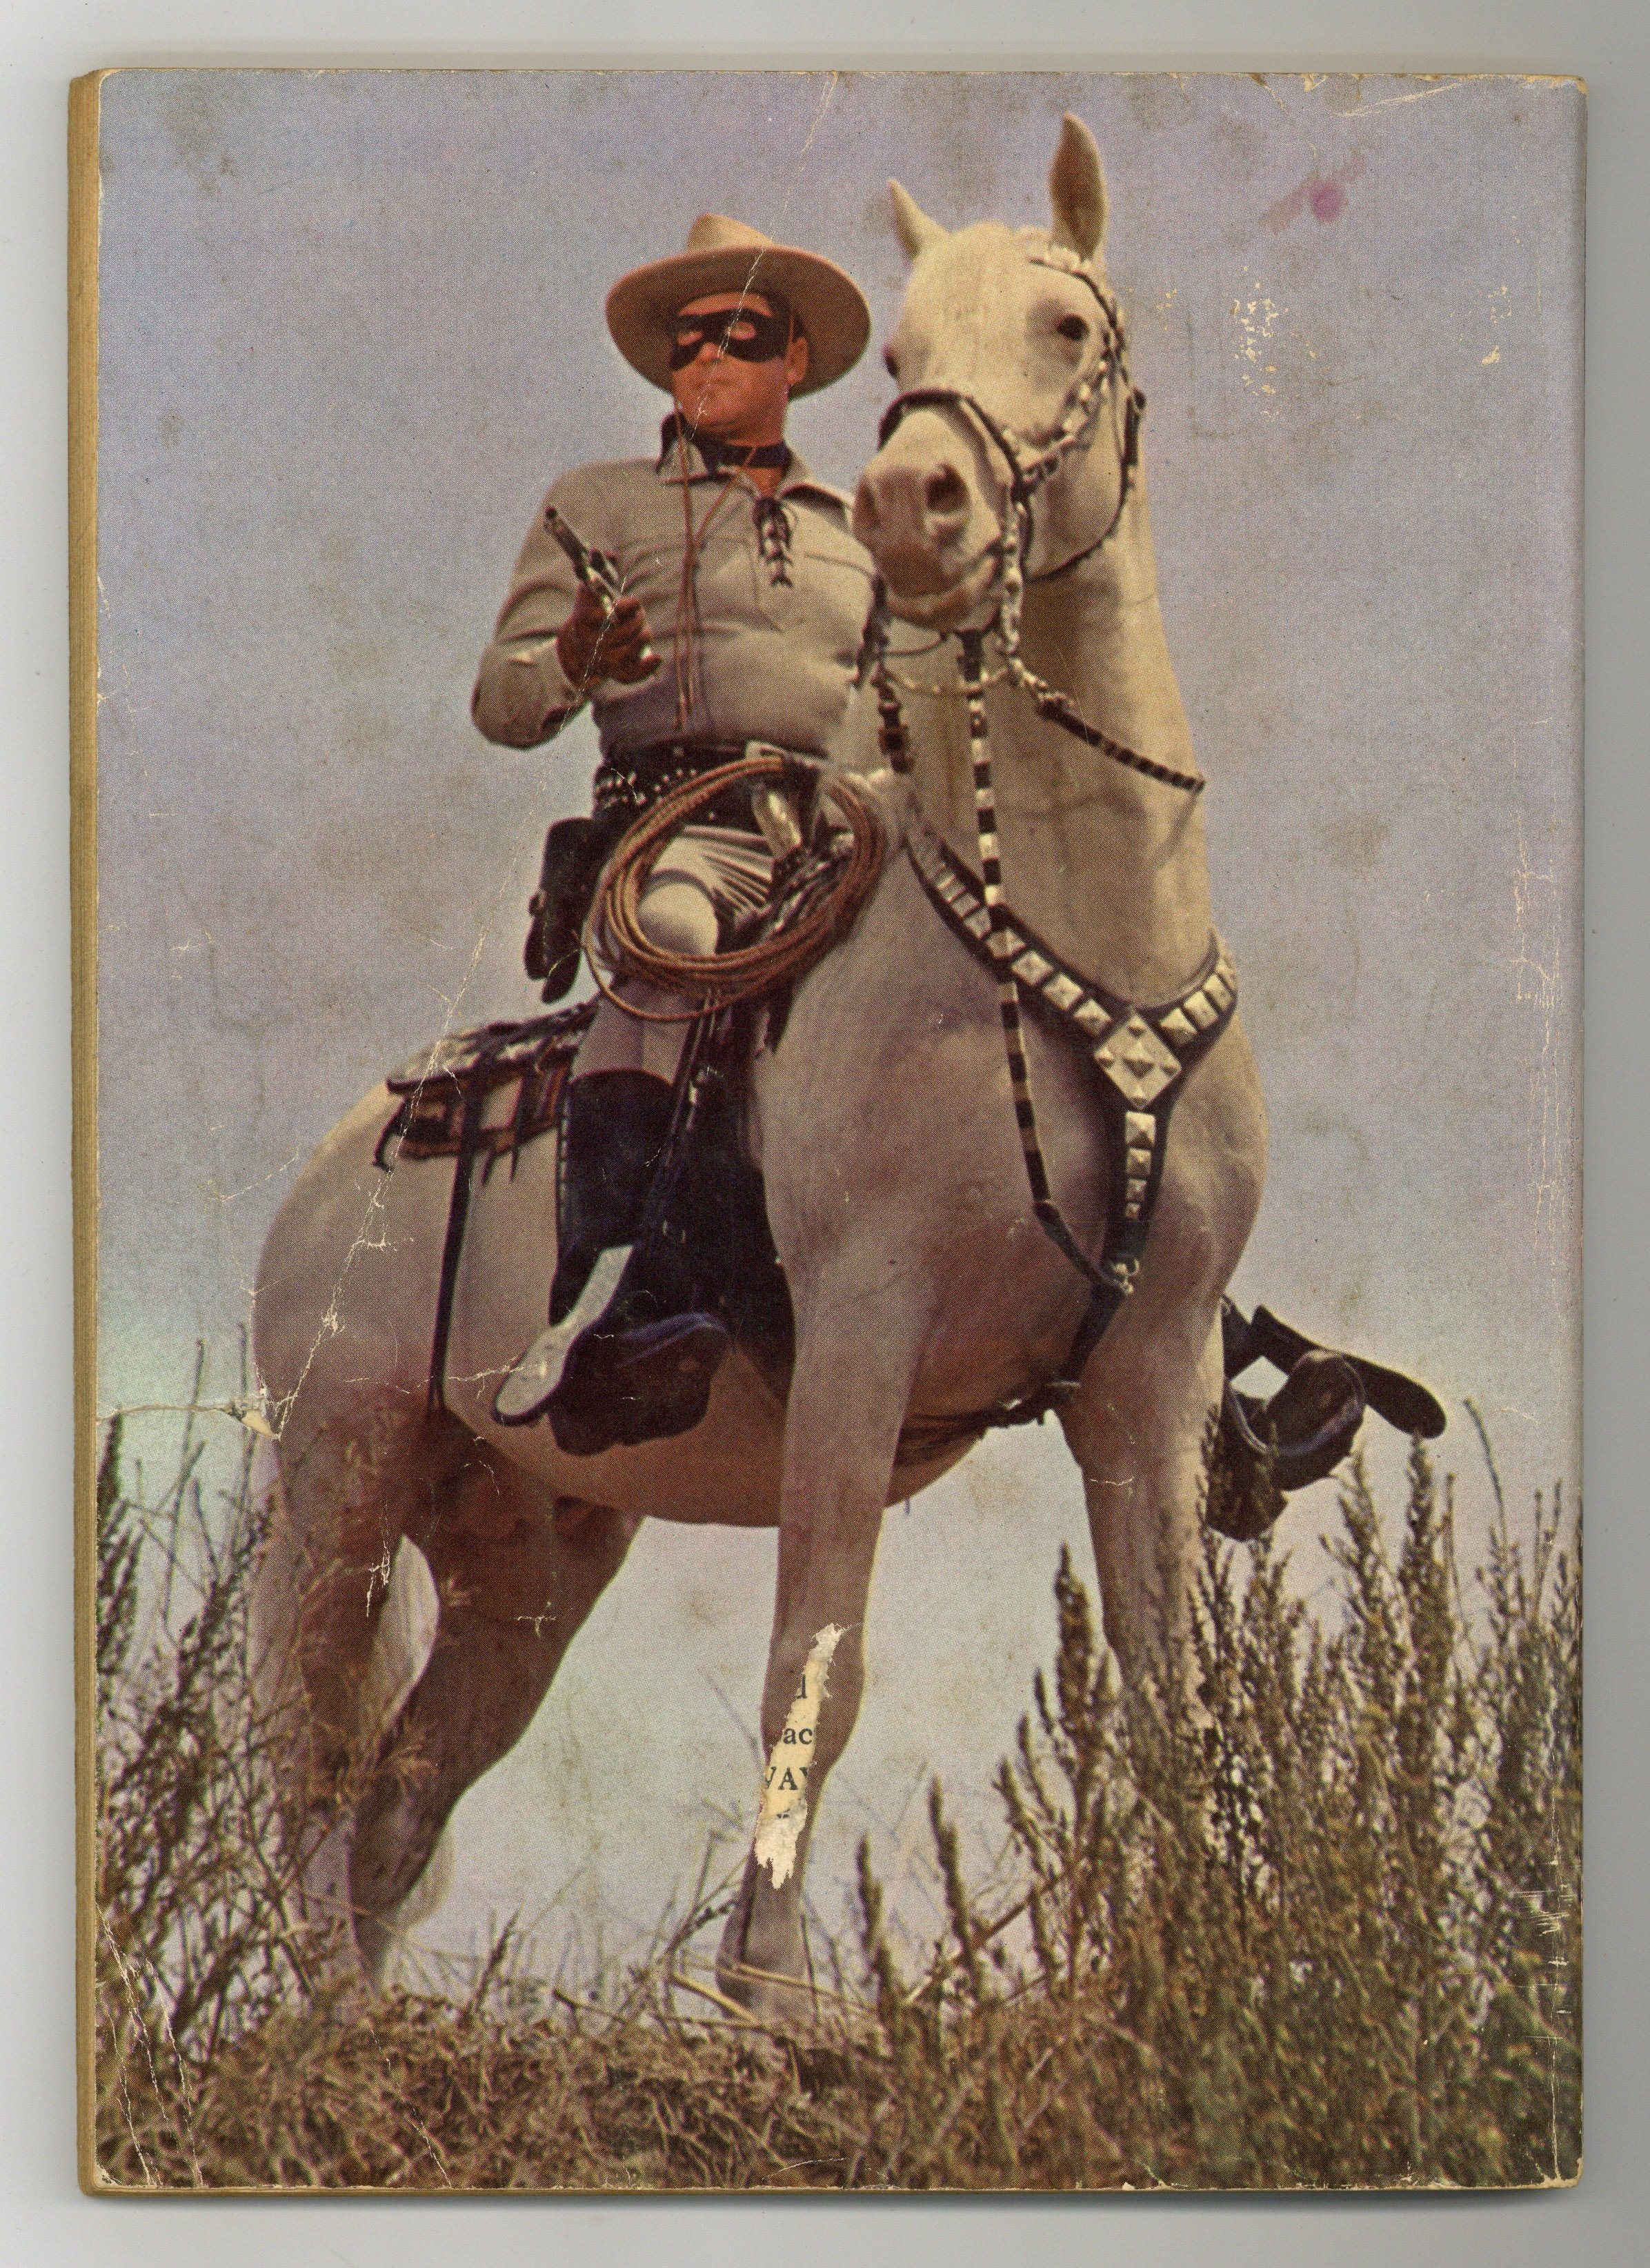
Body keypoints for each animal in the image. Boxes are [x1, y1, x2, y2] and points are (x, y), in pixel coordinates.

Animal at [249, 115, 1266, 2024]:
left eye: (1064, 328)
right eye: (903, 351)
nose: (913, 506)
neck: (1075, 962)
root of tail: (341, 1164)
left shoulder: (1146, 1371)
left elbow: (1169, 1690)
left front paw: (1195, 1965)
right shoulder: (863, 1338)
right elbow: (821, 1656)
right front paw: (770, 1987)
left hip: (528, 1556)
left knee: (405, 1789)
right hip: (334, 1488)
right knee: (306, 1763)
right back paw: (328, 2015)